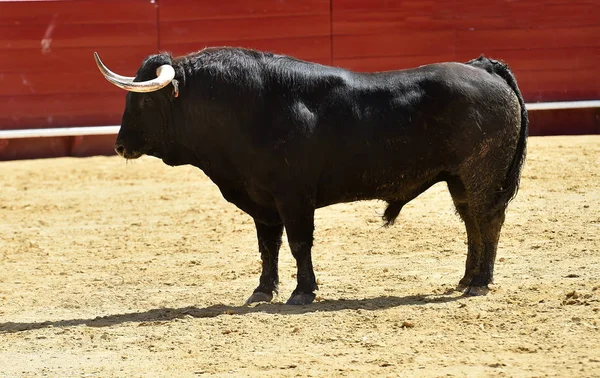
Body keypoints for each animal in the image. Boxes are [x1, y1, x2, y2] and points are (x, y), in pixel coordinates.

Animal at [96, 48, 528, 306]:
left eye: (144, 100)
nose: (119, 145)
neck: (247, 108)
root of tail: (483, 68)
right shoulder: (263, 202)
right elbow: (268, 247)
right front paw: (262, 291)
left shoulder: (294, 198)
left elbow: (299, 243)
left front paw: (303, 292)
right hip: (459, 180)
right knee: (472, 223)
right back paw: (466, 277)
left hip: (481, 175)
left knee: (488, 221)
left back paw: (479, 282)